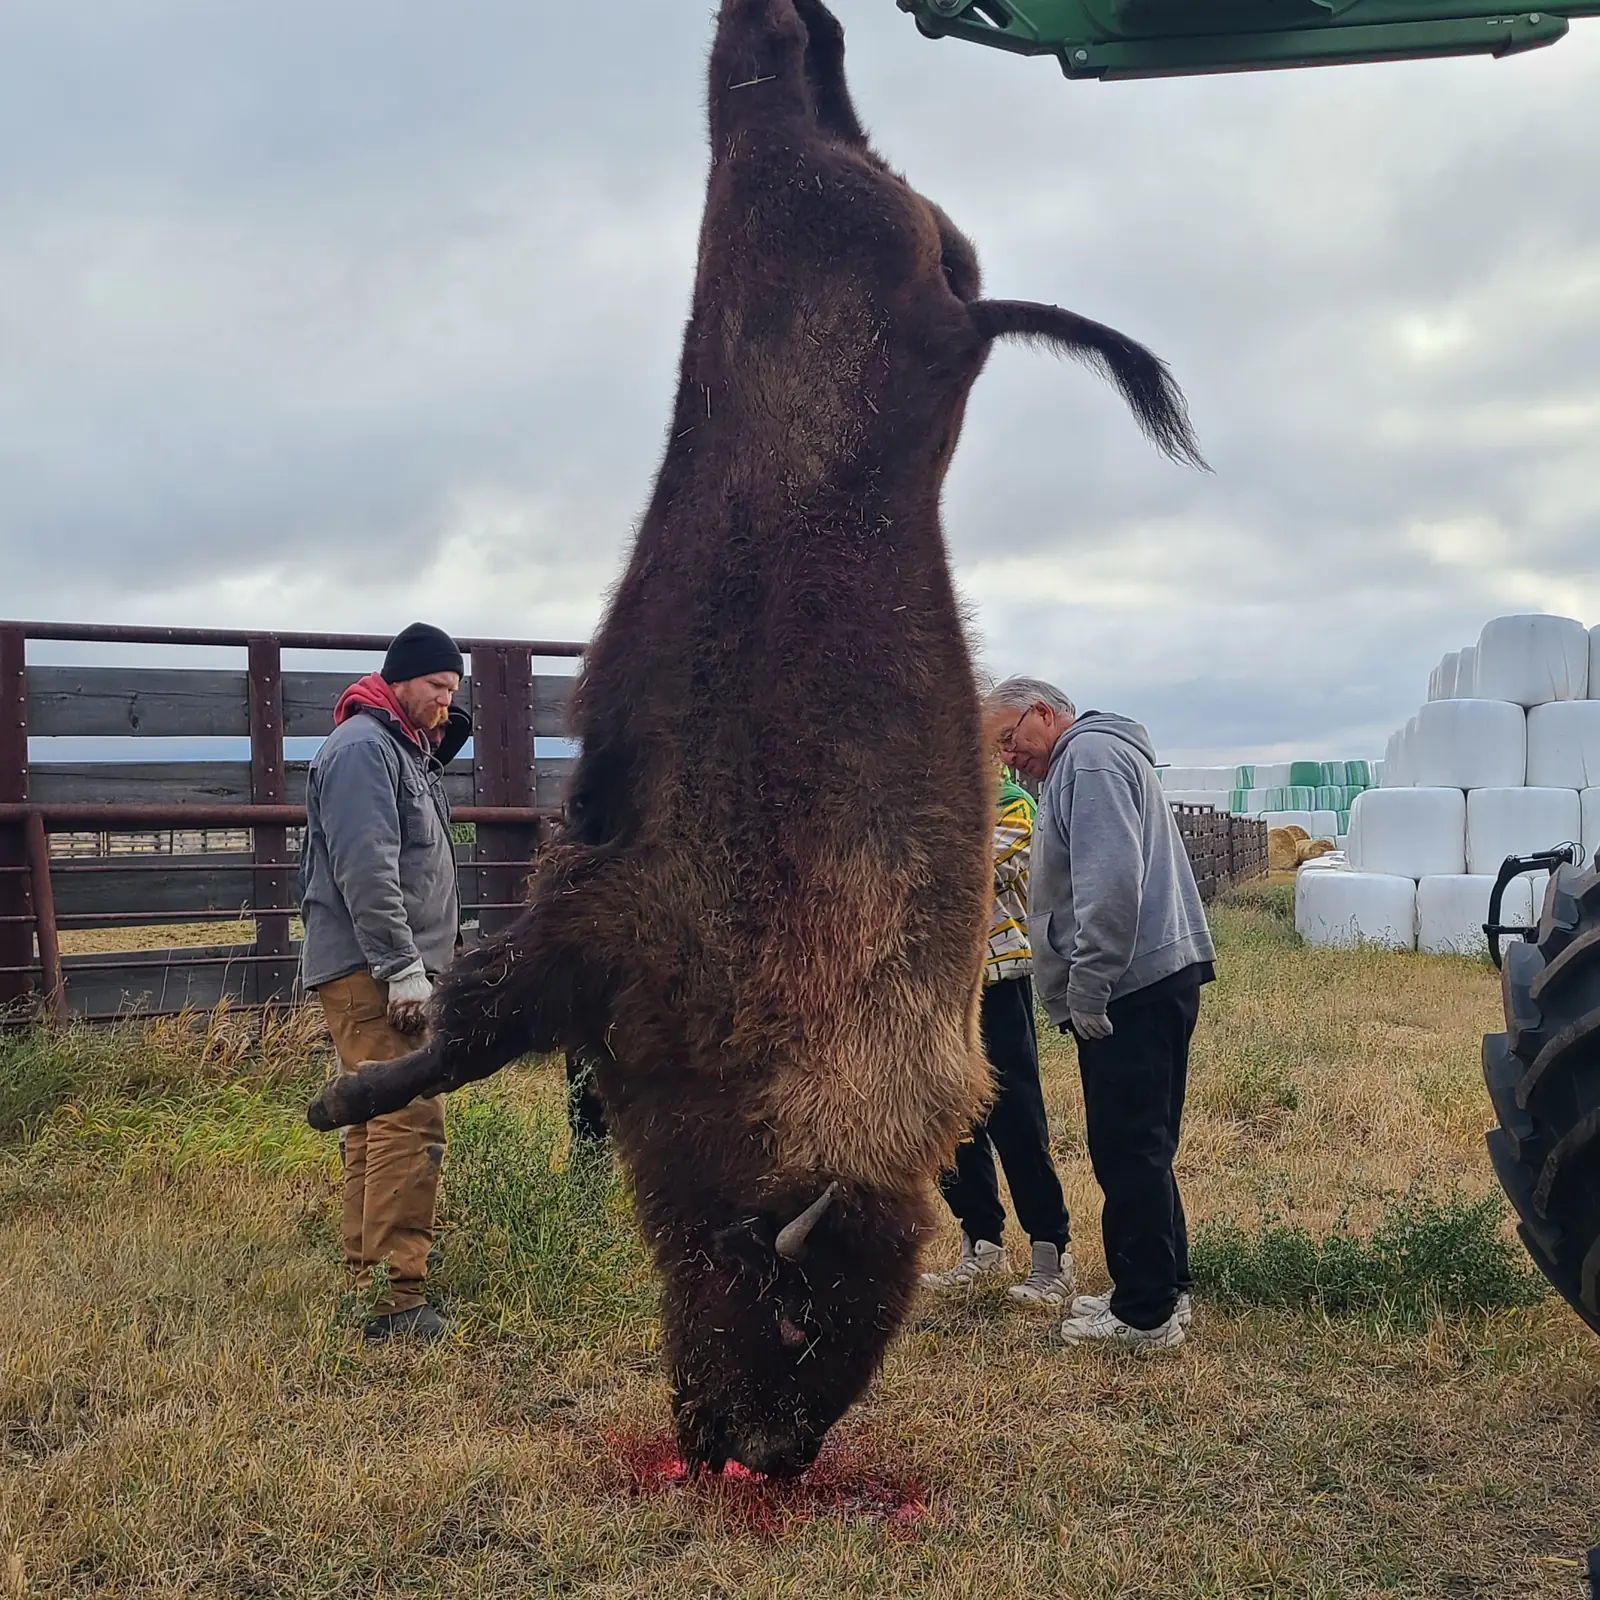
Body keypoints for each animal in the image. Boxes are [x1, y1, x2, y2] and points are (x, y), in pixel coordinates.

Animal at [308, 0, 1201, 1476]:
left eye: (845, 1331)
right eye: (792, 1309)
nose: (759, 1451)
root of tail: (955, 318)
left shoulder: (576, 951)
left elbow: (464, 1035)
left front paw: (328, 1102)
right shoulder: (584, 942)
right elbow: (460, 1037)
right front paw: (335, 1101)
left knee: (783, 82)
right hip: (853, 207)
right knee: (792, 84)